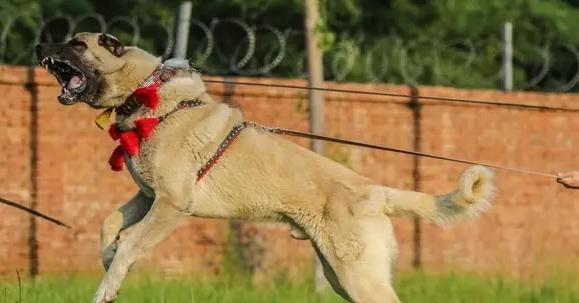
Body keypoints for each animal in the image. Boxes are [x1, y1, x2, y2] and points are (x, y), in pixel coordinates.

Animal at [36, 33, 496, 303]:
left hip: (359, 275)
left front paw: (109, 283)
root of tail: (374, 191)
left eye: (76, 45)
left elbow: (131, 241)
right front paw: (107, 256)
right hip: (342, 276)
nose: (41, 48)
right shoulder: (146, 196)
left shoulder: (171, 203)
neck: (148, 97)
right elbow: (110, 224)